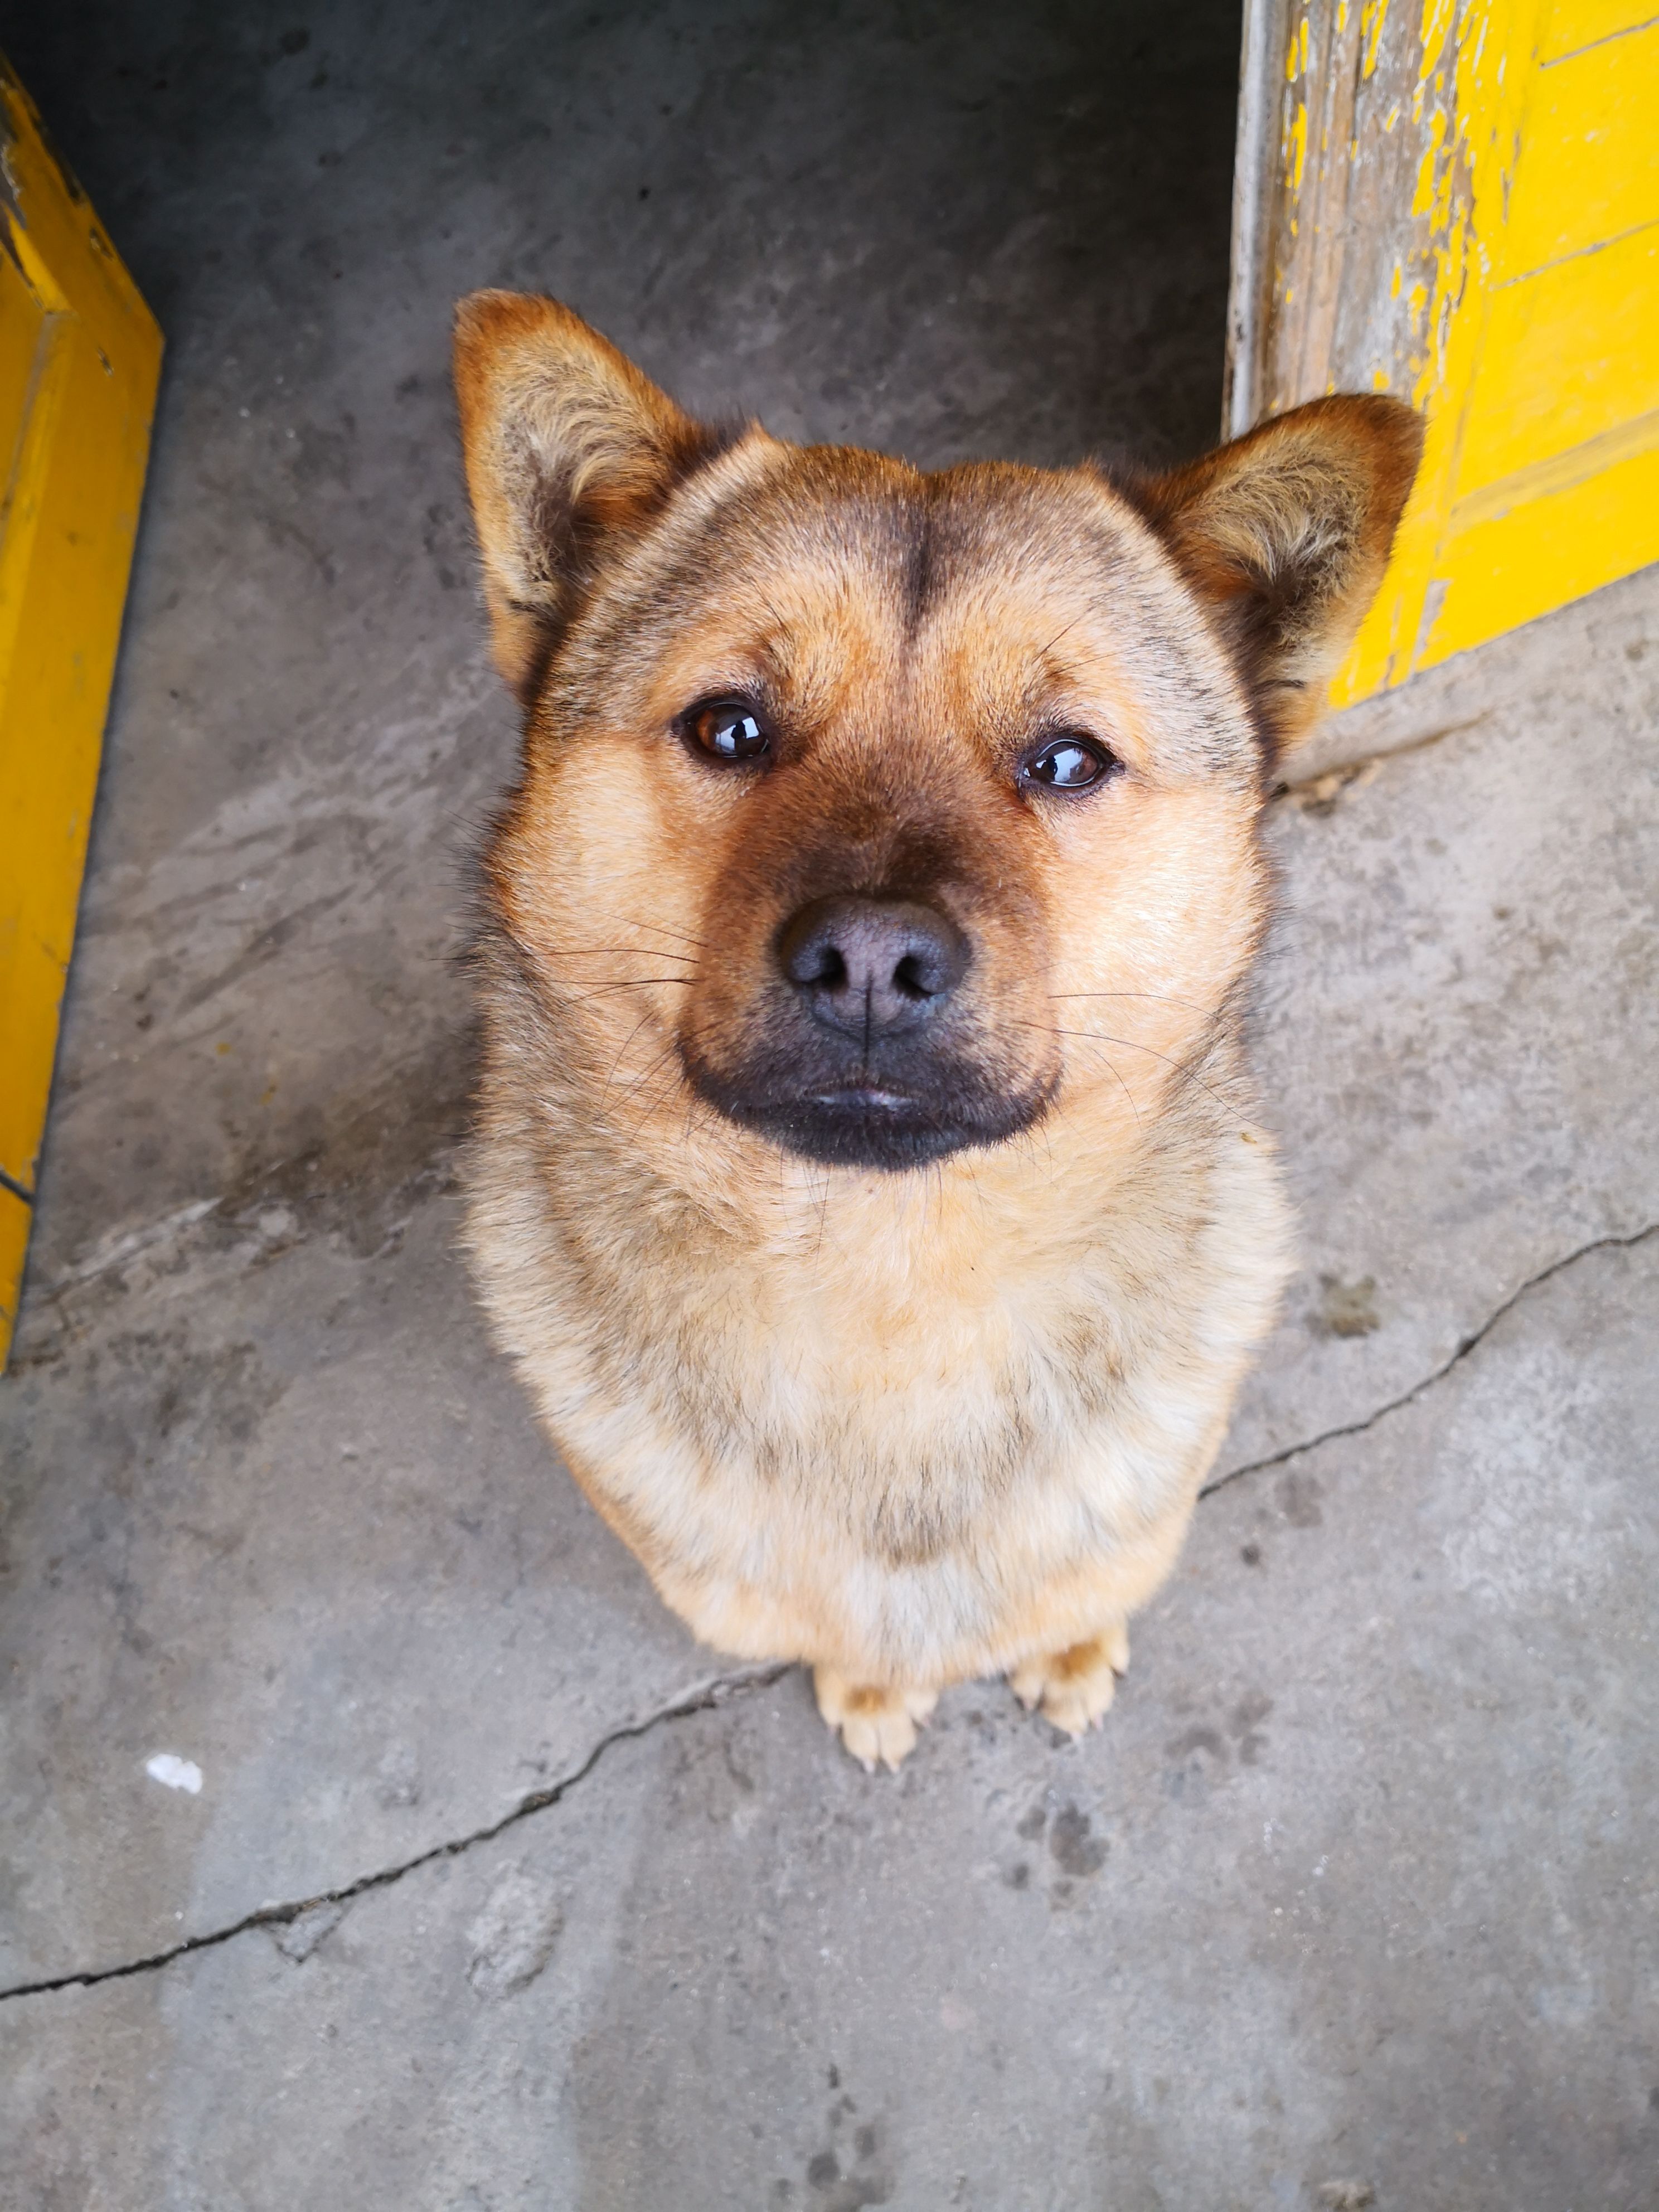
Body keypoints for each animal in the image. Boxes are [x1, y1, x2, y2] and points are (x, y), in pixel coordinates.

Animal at [455, 298, 1433, 1778]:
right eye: (729, 726)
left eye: (1068, 759)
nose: (870, 959)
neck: (888, 1286)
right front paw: (869, 1685)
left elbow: (1078, 1586)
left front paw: (1067, 1649)